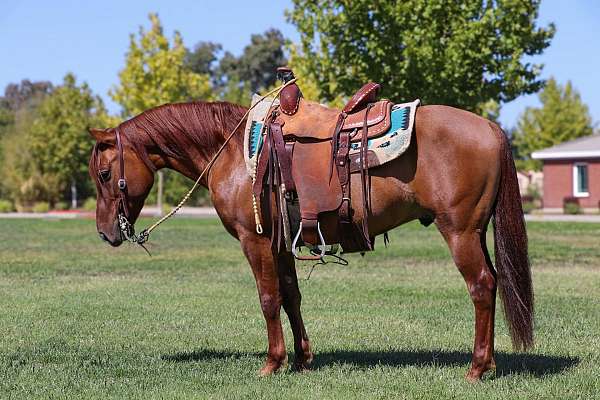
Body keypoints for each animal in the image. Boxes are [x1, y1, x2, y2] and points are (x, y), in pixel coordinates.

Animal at [88, 100, 528, 382]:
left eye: (105, 174)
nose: (106, 233)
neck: (230, 151)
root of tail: (491, 128)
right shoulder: (281, 244)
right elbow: (290, 296)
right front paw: (302, 359)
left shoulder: (256, 241)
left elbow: (268, 299)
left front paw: (272, 363)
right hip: (476, 232)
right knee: (492, 284)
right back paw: (488, 364)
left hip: (459, 232)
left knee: (481, 287)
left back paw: (476, 368)